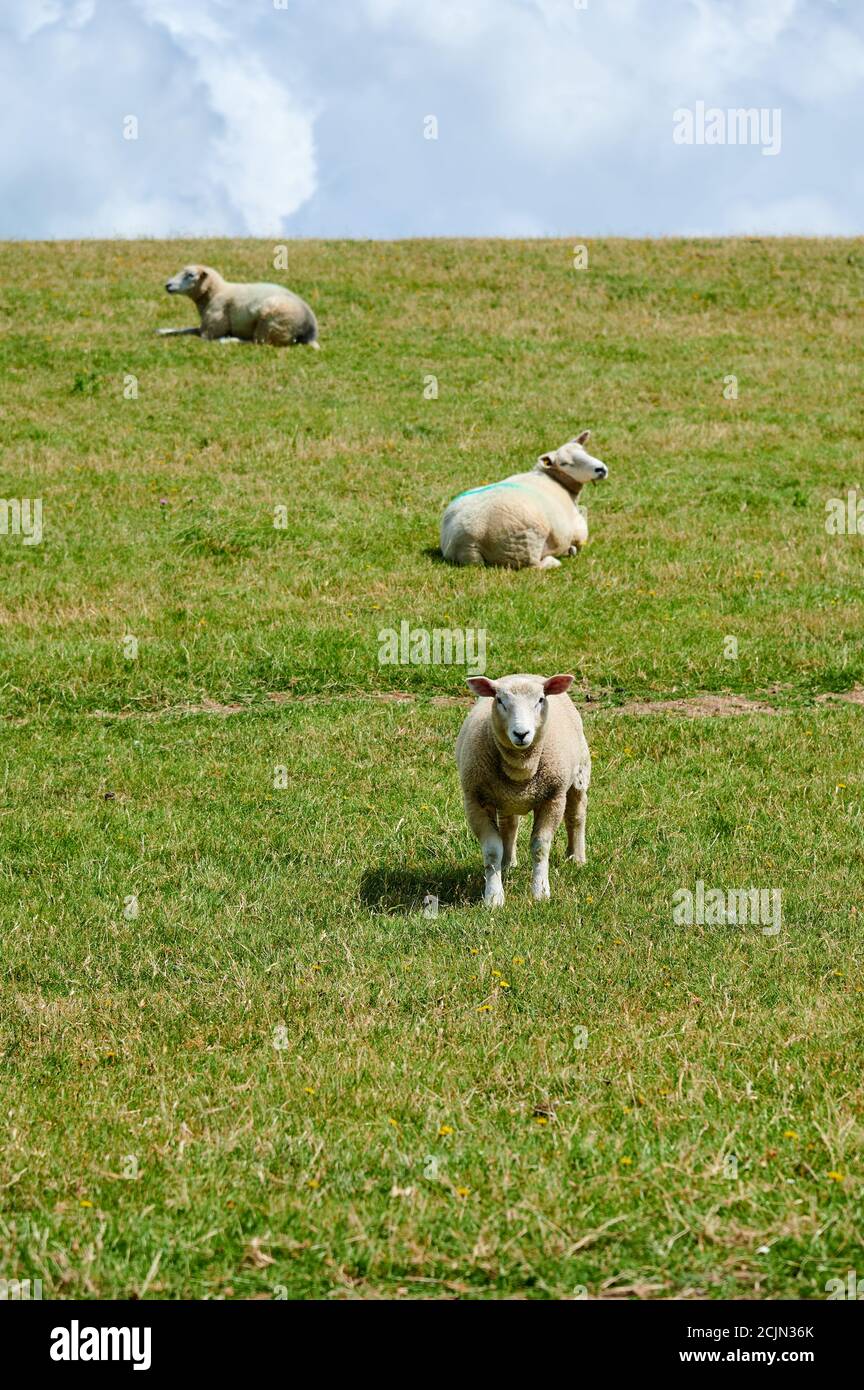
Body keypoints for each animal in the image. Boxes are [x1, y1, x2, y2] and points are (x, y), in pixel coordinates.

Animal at [157, 262, 319, 347]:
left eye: (190, 275)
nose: (167, 285)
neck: (215, 292)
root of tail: (310, 328)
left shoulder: (211, 329)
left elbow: (197, 336)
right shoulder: (205, 325)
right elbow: (186, 329)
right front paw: (163, 330)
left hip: (272, 321)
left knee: (257, 342)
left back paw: (229, 340)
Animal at [438, 430, 608, 567]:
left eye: (585, 451)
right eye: (565, 463)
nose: (601, 469)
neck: (555, 479)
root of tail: (466, 542)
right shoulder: (579, 529)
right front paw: (571, 549)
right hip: (524, 544)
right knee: (533, 566)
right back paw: (554, 560)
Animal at [458, 667, 591, 906]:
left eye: (540, 700)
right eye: (500, 700)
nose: (521, 734)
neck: (520, 768)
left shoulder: (552, 798)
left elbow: (540, 847)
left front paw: (540, 892)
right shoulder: (475, 799)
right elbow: (492, 850)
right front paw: (494, 897)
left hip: (579, 775)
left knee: (576, 816)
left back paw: (576, 857)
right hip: (506, 798)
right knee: (509, 826)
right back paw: (507, 864)